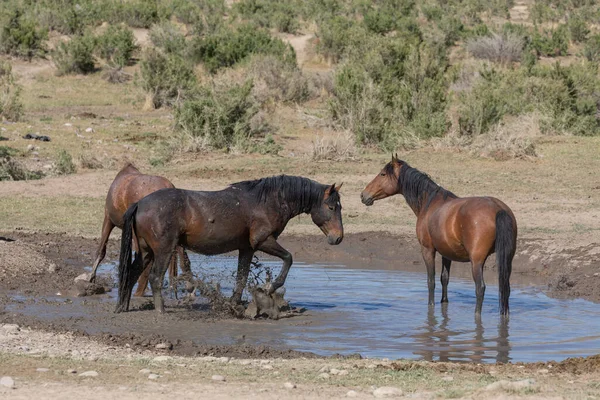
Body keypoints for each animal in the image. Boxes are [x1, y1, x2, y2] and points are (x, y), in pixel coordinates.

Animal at [112, 177, 342, 314]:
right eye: (331, 207)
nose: (338, 238)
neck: (268, 202)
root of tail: (140, 203)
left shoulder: (247, 249)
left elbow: (242, 277)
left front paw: (234, 303)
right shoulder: (263, 241)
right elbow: (288, 258)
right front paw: (270, 287)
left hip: (146, 252)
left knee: (131, 275)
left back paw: (122, 307)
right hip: (163, 250)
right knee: (154, 278)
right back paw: (161, 311)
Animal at [358, 155, 516, 316]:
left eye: (382, 174)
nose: (363, 195)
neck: (429, 203)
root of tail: (498, 209)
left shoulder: (427, 250)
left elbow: (431, 281)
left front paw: (431, 306)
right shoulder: (447, 253)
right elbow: (444, 279)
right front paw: (443, 303)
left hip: (477, 261)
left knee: (480, 288)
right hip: (507, 259)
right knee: (506, 288)